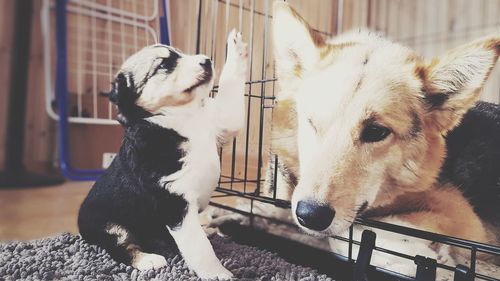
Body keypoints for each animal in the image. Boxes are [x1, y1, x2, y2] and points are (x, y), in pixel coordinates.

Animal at [78, 29, 248, 278]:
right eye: (164, 64)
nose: (207, 60)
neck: (182, 118)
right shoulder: (174, 202)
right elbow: (200, 248)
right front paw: (217, 273)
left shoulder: (222, 121)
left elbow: (231, 90)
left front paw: (237, 46)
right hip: (110, 227)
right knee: (121, 247)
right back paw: (148, 260)